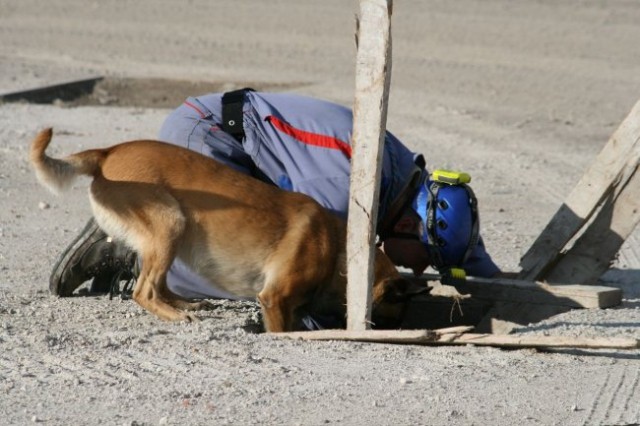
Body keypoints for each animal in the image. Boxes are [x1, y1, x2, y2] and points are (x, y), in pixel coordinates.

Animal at [31, 128, 420, 332]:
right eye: (390, 318)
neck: (340, 249)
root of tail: (107, 152)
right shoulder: (274, 300)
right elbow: (281, 330)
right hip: (171, 224)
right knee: (143, 291)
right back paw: (176, 314)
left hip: (174, 235)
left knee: (157, 284)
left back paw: (183, 302)